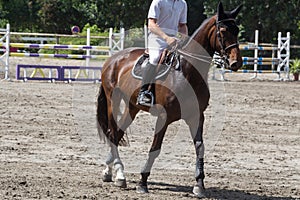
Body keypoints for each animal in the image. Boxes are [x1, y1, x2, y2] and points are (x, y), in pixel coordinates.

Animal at [97, 1, 243, 198]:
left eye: (237, 30)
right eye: (222, 30)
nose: (236, 62)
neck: (188, 72)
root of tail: (113, 58)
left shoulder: (197, 116)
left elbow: (200, 147)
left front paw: (199, 185)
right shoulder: (164, 117)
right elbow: (155, 148)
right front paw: (143, 182)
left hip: (132, 107)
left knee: (118, 133)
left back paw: (109, 171)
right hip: (113, 100)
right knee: (113, 133)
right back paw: (120, 175)